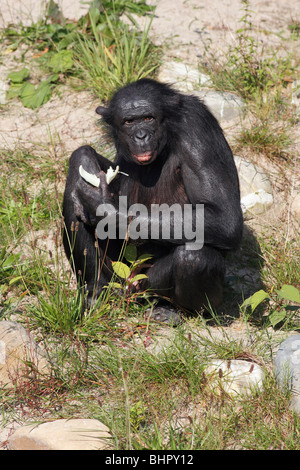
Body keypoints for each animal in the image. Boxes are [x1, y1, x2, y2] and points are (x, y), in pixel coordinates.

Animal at [62, 80, 243, 324]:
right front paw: (83, 159)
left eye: (148, 118)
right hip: (116, 276)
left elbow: (224, 215)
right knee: (75, 205)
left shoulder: (197, 127)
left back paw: (173, 310)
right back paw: (95, 293)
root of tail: (128, 290)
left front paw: (103, 207)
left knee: (194, 257)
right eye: (129, 121)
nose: (140, 135)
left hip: (144, 285)